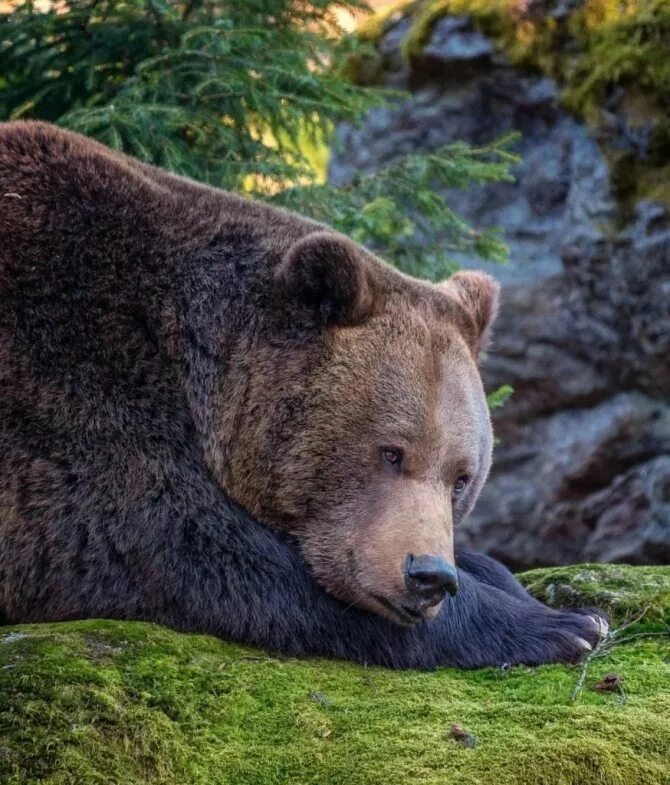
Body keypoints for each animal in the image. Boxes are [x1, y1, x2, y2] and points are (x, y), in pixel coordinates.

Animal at [0, 122, 608, 668]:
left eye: (462, 479)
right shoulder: (73, 390)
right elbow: (200, 553)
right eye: (391, 452)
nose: (429, 575)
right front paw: (563, 625)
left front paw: (524, 587)